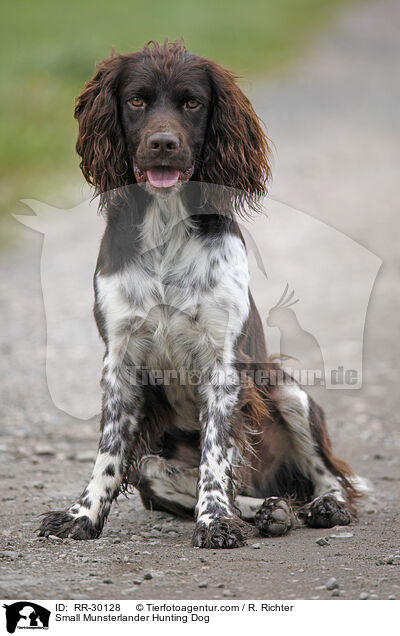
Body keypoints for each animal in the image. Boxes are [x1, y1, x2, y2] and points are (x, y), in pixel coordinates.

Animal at [39, 41, 360, 548]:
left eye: (192, 103)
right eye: (136, 100)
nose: (163, 142)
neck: (166, 226)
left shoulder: (222, 361)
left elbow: (216, 454)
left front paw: (215, 522)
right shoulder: (120, 359)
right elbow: (108, 453)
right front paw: (81, 516)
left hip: (286, 389)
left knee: (327, 474)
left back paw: (323, 505)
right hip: (152, 465)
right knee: (226, 486)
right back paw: (268, 509)